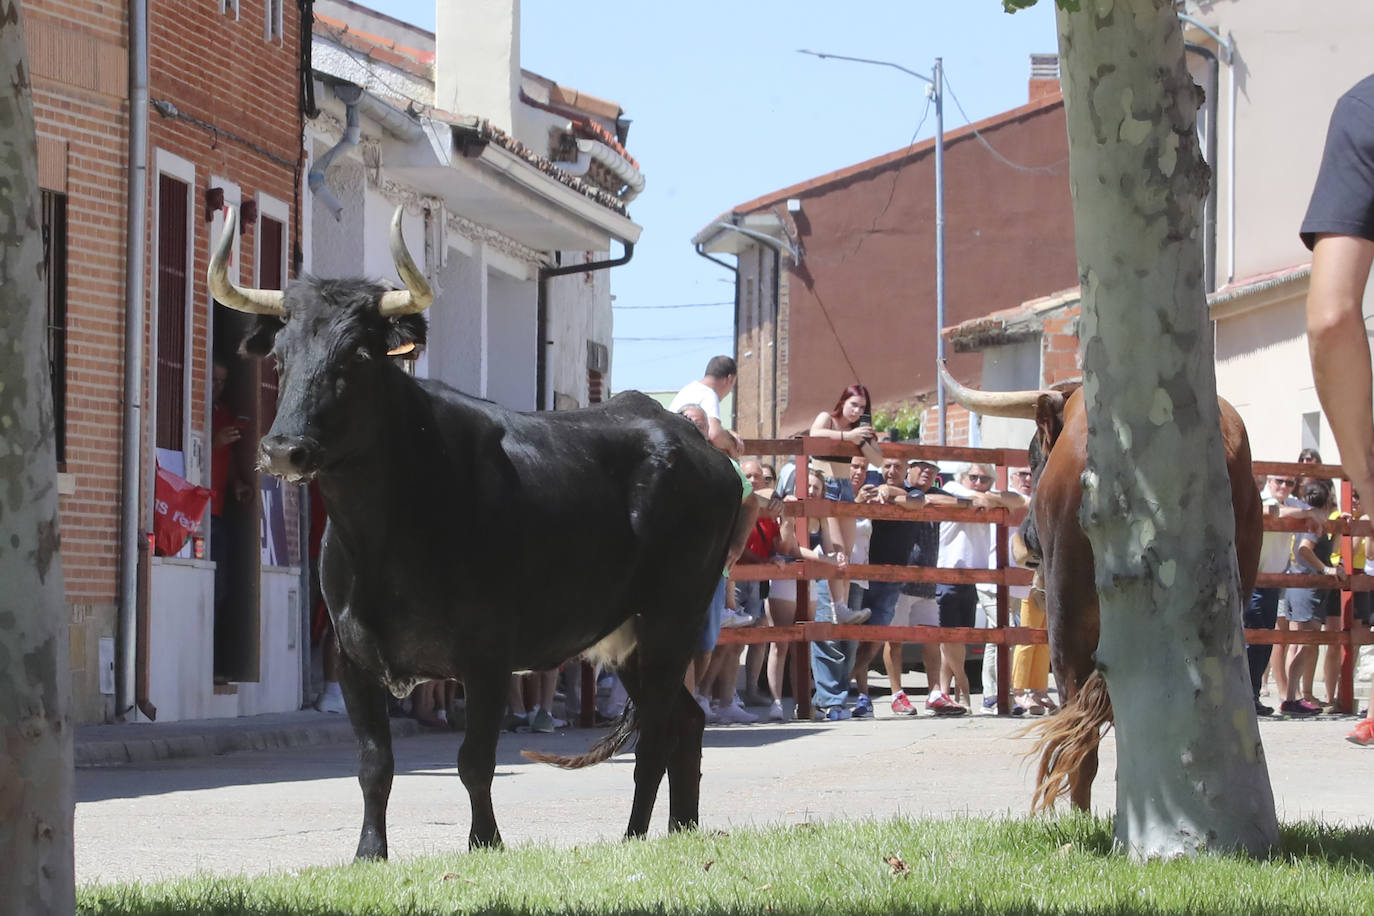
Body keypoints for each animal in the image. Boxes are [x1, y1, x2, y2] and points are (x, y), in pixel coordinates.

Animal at [208, 204, 747, 856]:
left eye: (357, 356)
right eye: (281, 357)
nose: (284, 449)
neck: (379, 539)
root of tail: (688, 437)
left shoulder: (487, 657)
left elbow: (474, 761)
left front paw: (485, 843)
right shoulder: (352, 658)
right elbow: (373, 763)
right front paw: (369, 853)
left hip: (672, 617)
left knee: (656, 735)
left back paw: (634, 837)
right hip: (628, 636)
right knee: (685, 721)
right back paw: (680, 830)